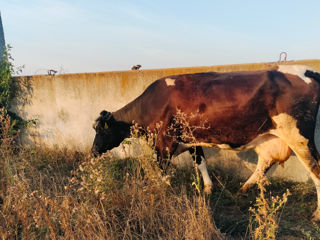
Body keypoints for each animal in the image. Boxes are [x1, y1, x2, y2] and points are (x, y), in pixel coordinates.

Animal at [92, 65, 320, 221]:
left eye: (100, 131)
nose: (93, 151)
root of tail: (308, 71)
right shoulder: (191, 139)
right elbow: (200, 162)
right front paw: (208, 188)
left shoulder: (164, 142)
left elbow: (163, 171)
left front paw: (159, 193)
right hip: (273, 137)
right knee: (264, 163)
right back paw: (245, 187)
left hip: (299, 137)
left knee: (315, 170)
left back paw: (317, 213)